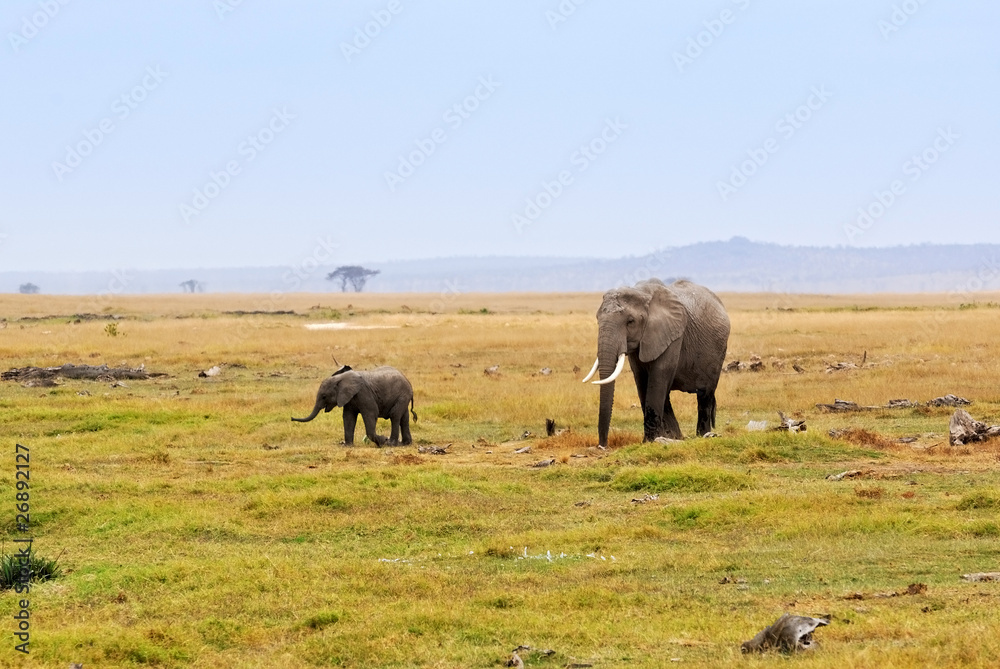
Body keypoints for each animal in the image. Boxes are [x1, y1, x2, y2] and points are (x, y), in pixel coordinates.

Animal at [582, 278, 730, 448]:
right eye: (597, 319)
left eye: (630, 321)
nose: (602, 445)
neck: (641, 293)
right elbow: (641, 380)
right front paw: (662, 438)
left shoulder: (673, 335)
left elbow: (659, 376)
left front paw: (650, 441)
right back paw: (677, 436)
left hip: (717, 353)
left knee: (704, 396)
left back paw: (702, 435)